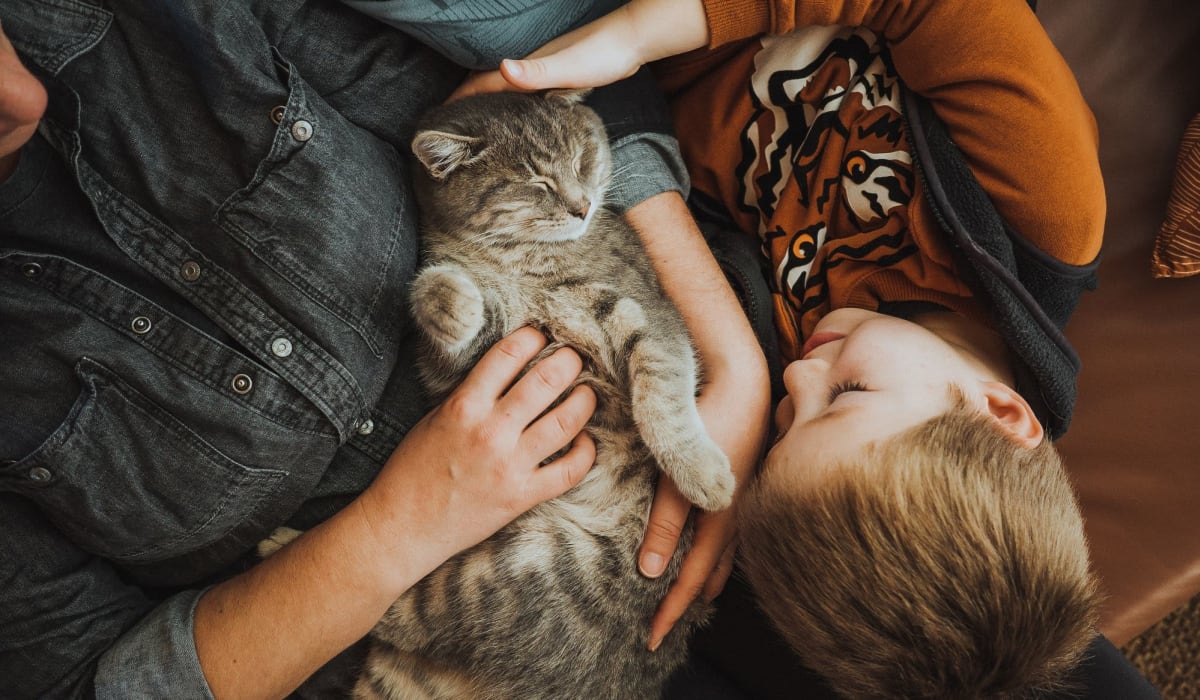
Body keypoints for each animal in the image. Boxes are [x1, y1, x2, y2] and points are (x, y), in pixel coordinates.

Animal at [267, 90, 734, 696]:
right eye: (536, 182)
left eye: (583, 158)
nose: (583, 206)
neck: (517, 260)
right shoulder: (477, 356)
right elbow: (451, 309)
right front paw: (446, 293)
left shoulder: (647, 314)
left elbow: (663, 393)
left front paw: (701, 474)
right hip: (515, 573)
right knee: (396, 605)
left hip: (531, 573)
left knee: (404, 614)